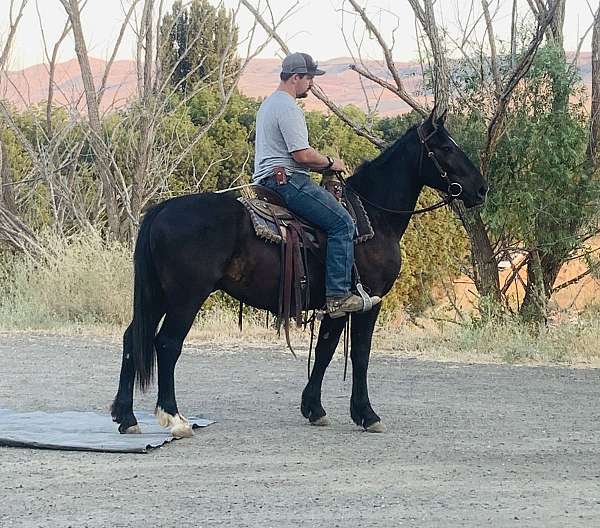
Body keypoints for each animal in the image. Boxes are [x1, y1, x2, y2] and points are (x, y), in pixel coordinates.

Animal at [111, 111, 488, 438]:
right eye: (445, 147)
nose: (481, 189)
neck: (374, 217)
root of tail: (162, 209)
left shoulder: (338, 305)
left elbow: (325, 350)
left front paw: (314, 408)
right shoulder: (371, 300)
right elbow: (360, 354)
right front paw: (367, 414)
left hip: (157, 295)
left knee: (132, 338)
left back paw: (126, 416)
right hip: (186, 296)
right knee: (167, 343)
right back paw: (174, 419)